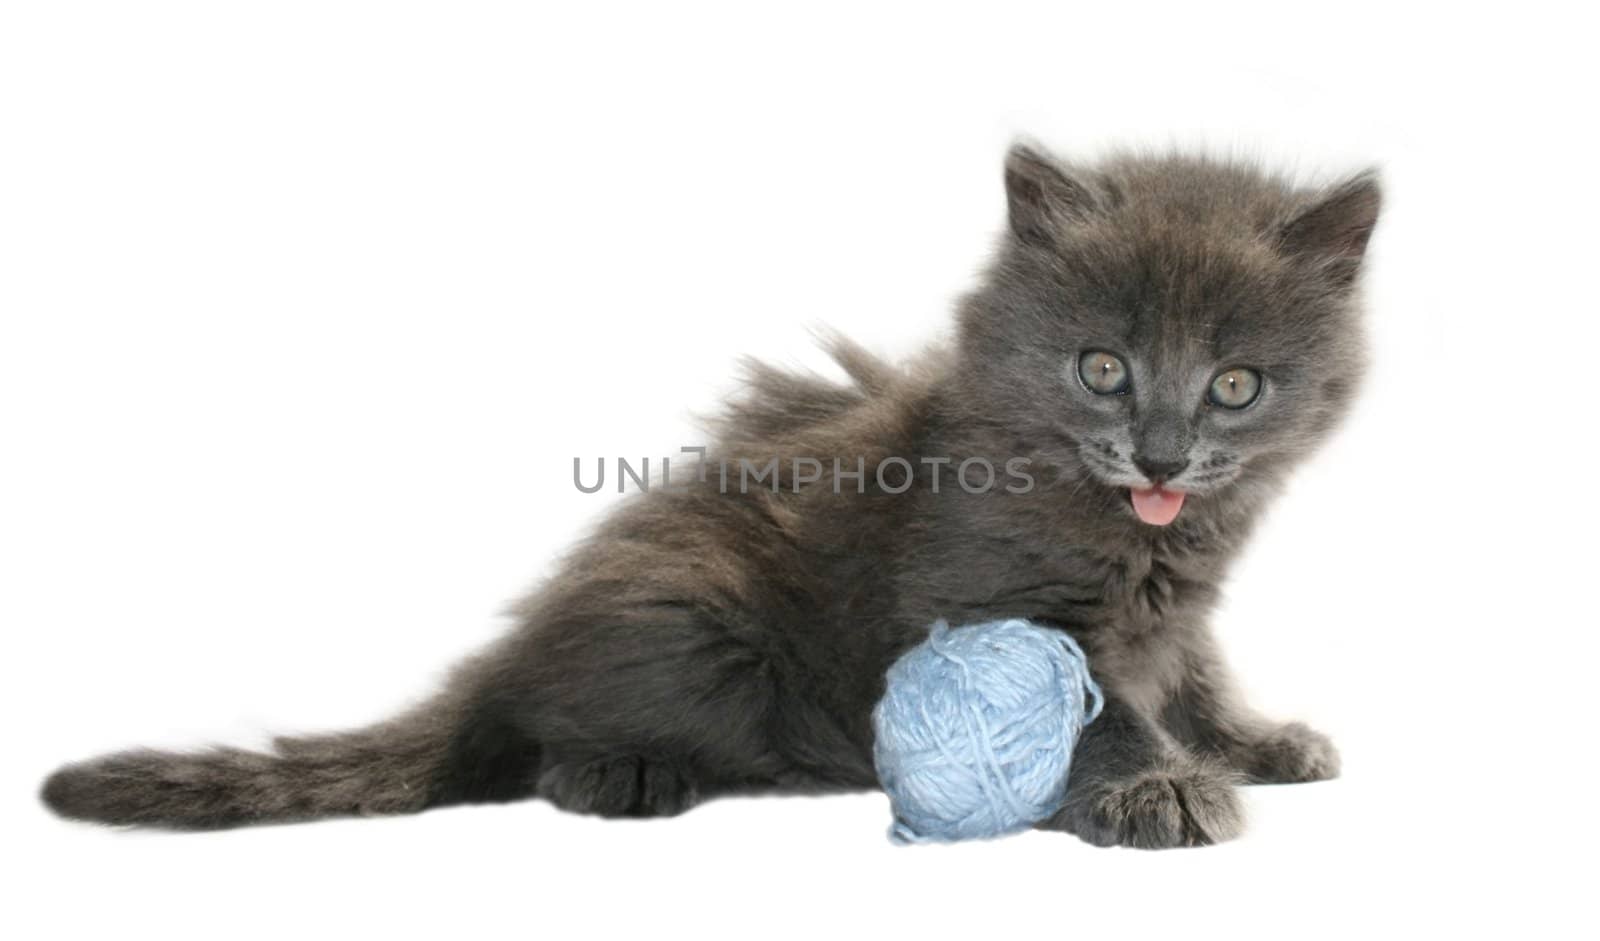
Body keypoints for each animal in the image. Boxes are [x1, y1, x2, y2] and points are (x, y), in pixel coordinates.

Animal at [43, 143, 1382, 851]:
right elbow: (1096, 709)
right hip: (695, 615)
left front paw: (1254, 738)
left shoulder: (1181, 609)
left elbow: (1193, 675)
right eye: (1102, 368)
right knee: (531, 740)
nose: (1159, 454)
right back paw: (632, 773)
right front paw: (1156, 783)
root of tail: (509, 649)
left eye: (1235, 384)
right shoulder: (986, 595)